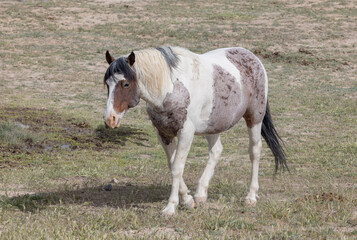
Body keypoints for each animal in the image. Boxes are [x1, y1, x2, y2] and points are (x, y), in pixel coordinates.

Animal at [102, 45, 286, 216]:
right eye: (107, 84)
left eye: (126, 84)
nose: (109, 119)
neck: (171, 88)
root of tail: (252, 58)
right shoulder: (164, 134)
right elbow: (172, 165)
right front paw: (188, 200)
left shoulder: (185, 133)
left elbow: (177, 168)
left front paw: (170, 207)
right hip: (212, 125)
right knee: (216, 151)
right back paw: (201, 193)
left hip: (254, 118)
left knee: (254, 152)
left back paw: (251, 196)